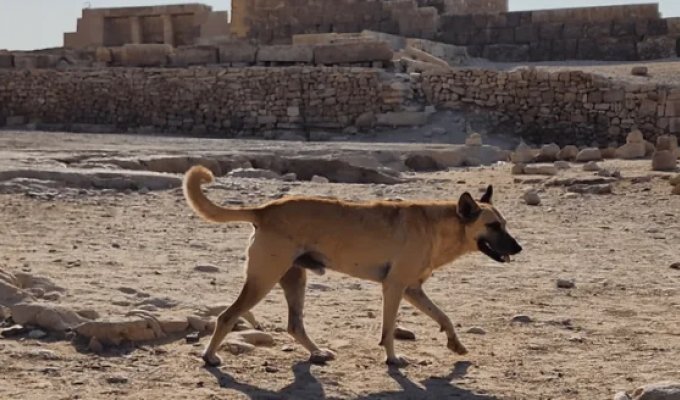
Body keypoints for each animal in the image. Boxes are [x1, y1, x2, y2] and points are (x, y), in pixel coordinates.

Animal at [183, 164, 524, 368]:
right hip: (263, 280)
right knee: (227, 316)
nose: (519, 249)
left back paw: (317, 352)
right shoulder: (395, 287)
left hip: (294, 280)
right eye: (493, 226)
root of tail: (265, 210)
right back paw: (210, 356)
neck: (440, 225)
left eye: (505, 224)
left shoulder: (413, 290)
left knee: (294, 325)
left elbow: (444, 317)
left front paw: (455, 344)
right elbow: (388, 330)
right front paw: (393, 359)